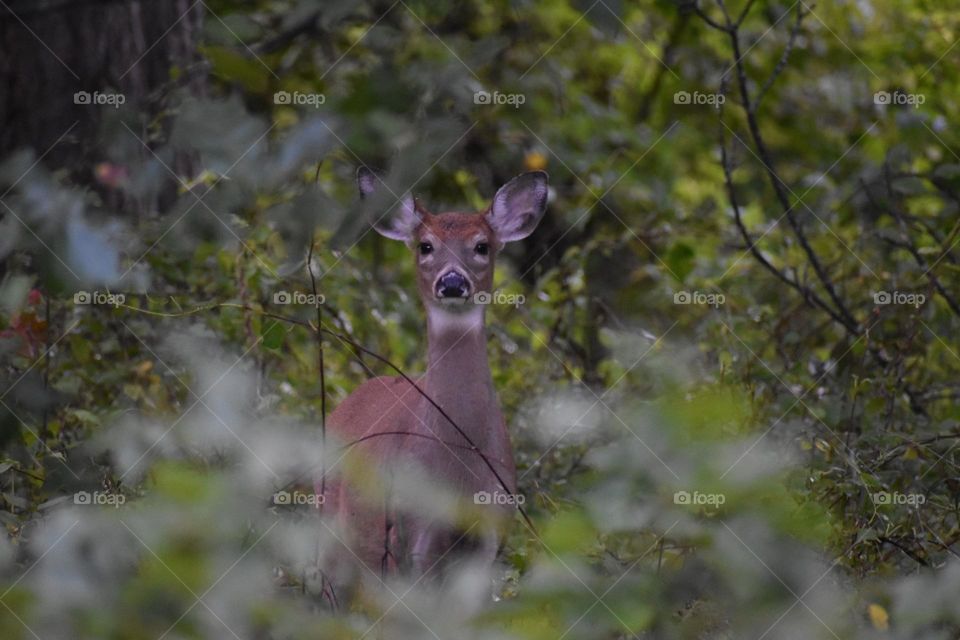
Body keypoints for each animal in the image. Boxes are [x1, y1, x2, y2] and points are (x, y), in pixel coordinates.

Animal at [318, 167, 548, 600]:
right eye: (425, 246)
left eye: (481, 246)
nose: (453, 282)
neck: (457, 474)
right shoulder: (409, 533)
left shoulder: (490, 533)